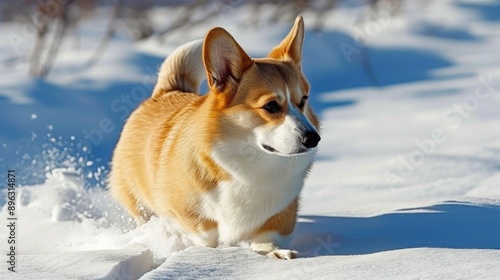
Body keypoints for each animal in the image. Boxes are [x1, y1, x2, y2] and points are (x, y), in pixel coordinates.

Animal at [109, 15, 320, 260]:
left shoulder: (283, 210)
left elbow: (267, 236)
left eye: (303, 100)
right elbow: (206, 235)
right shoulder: (183, 212)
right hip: (137, 199)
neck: (252, 167)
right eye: (270, 106)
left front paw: (275, 252)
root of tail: (168, 91)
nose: (313, 138)